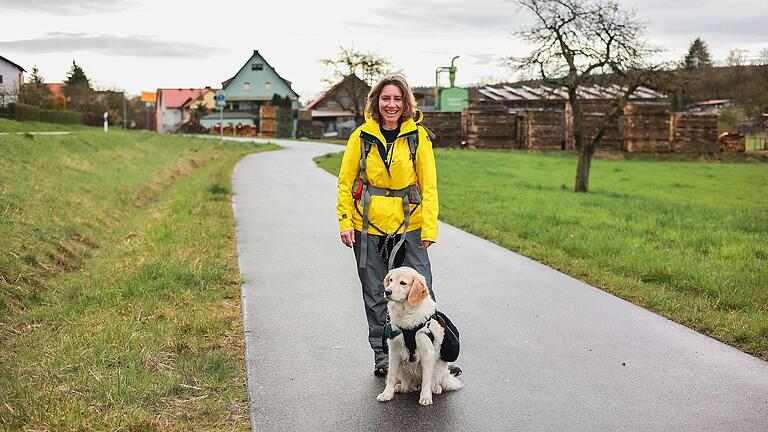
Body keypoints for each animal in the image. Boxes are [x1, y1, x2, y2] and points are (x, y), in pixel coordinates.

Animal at [376, 266, 462, 404]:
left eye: (403, 283)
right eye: (391, 280)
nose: (387, 291)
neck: (407, 314)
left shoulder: (427, 353)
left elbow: (427, 379)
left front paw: (425, 397)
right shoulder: (394, 352)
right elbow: (390, 377)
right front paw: (387, 394)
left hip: (440, 366)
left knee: (435, 380)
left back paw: (436, 388)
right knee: (404, 383)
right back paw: (400, 386)